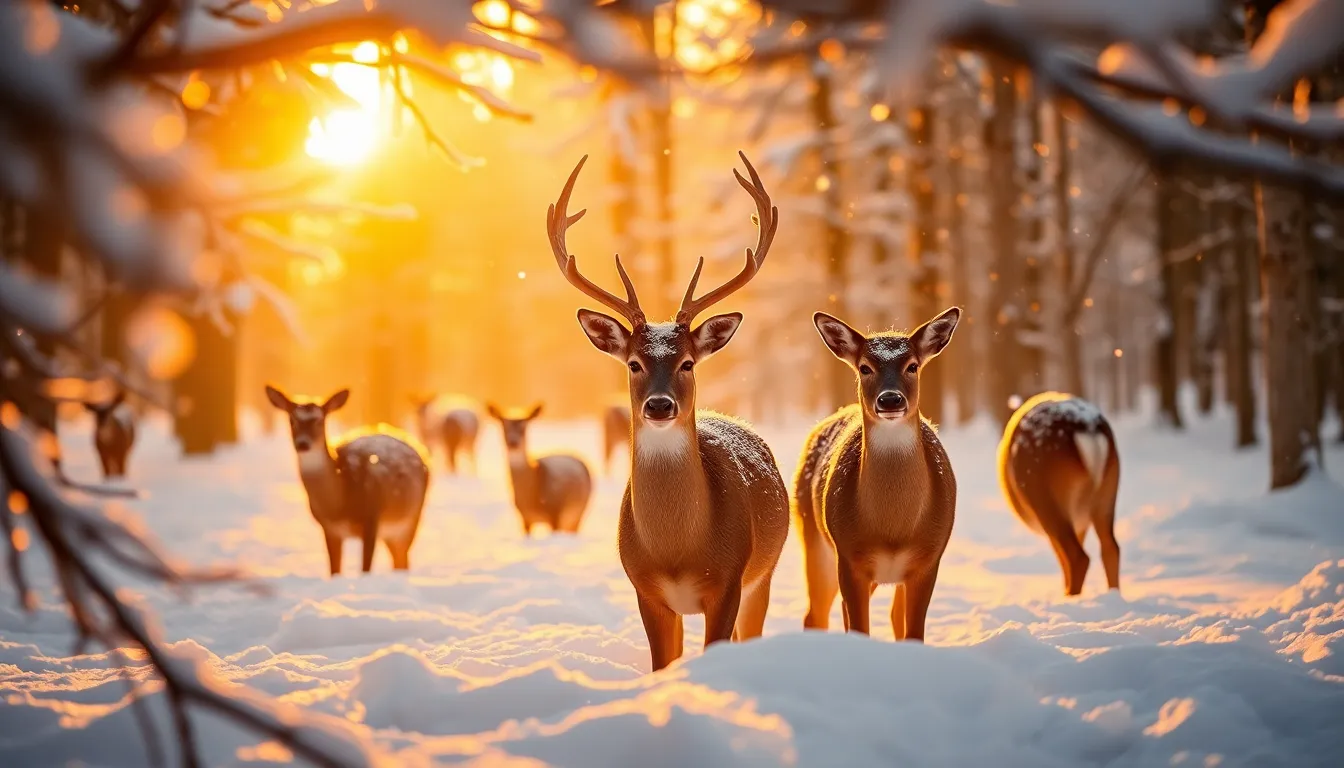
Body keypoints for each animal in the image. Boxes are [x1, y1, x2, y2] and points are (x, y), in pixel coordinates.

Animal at [266, 385, 430, 576]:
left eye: (319, 421)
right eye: (292, 420)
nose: (303, 444)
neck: (340, 504)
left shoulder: (371, 518)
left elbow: (365, 569)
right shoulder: (329, 528)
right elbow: (334, 571)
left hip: (411, 519)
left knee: (403, 560)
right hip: (392, 532)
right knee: (400, 561)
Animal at [485, 402, 592, 535]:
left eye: (524, 428)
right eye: (503, 427)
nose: (513, 443)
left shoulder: (555, 512)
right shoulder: (524, 518)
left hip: (579, 512)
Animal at [550, 151, 790, 672]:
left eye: (687, 362)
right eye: (634, 362)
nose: (659, 405)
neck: (678, 552)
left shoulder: (729, 582)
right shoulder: (647, 592)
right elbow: (664, 664)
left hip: (765, 572)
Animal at [794, 307, 961, 641]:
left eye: (912, 366)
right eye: (865, 367)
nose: (890, 399)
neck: (893, 531)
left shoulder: (929, 559)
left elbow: (913, 632)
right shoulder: (849, 558)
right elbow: (860, 627)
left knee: (892, 616)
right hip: (814, 538)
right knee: (815, 614)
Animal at [998, 391, 1121, 596]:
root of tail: (1087, 428)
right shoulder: (1081, 523)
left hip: (1044, 497)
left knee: (1077, 557)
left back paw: (1069, 597)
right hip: (1107, 492)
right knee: (1111, 548)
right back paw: (1113, 595)